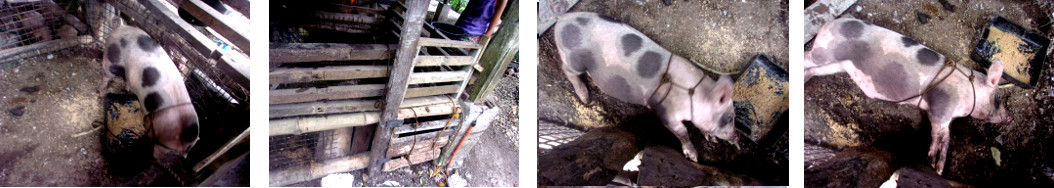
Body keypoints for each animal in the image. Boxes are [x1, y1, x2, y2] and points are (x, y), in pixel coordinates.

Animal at [556, 12, 737, 161]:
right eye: (729, 117)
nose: (737, 138)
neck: (693, 94)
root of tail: (561, 20)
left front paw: (711, 139)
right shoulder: (666, 112)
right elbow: (682, 132)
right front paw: (693, 157)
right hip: (574, 60)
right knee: (567, 70)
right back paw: (585, 98)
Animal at [805, 17, 1011, 174]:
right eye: (998, 98)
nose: (1008, 118)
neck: (968, 91)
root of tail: (831, 23)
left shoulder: (945, 117)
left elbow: (946, 139)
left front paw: (939, 169)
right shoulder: (941, 105)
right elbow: (936, 135)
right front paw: (930, 160)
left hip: (836, 65)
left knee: (812, 70)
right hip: (826, 53)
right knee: (805, 58)